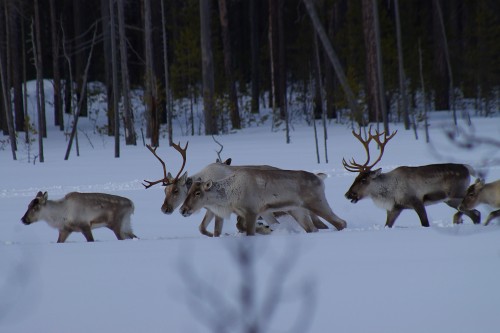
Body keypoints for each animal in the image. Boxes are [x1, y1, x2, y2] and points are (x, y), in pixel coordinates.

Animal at [180, 167, 348, 235]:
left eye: (197, 192)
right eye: (187, 192)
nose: (183, 209)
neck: (230, 194)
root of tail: (320, 178)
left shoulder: (252, 212)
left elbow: (249, 232)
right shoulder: (247, 213)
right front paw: (267, 229)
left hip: (317, 203)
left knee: (341, 223)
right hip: (297, 210)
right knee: (312, 228)